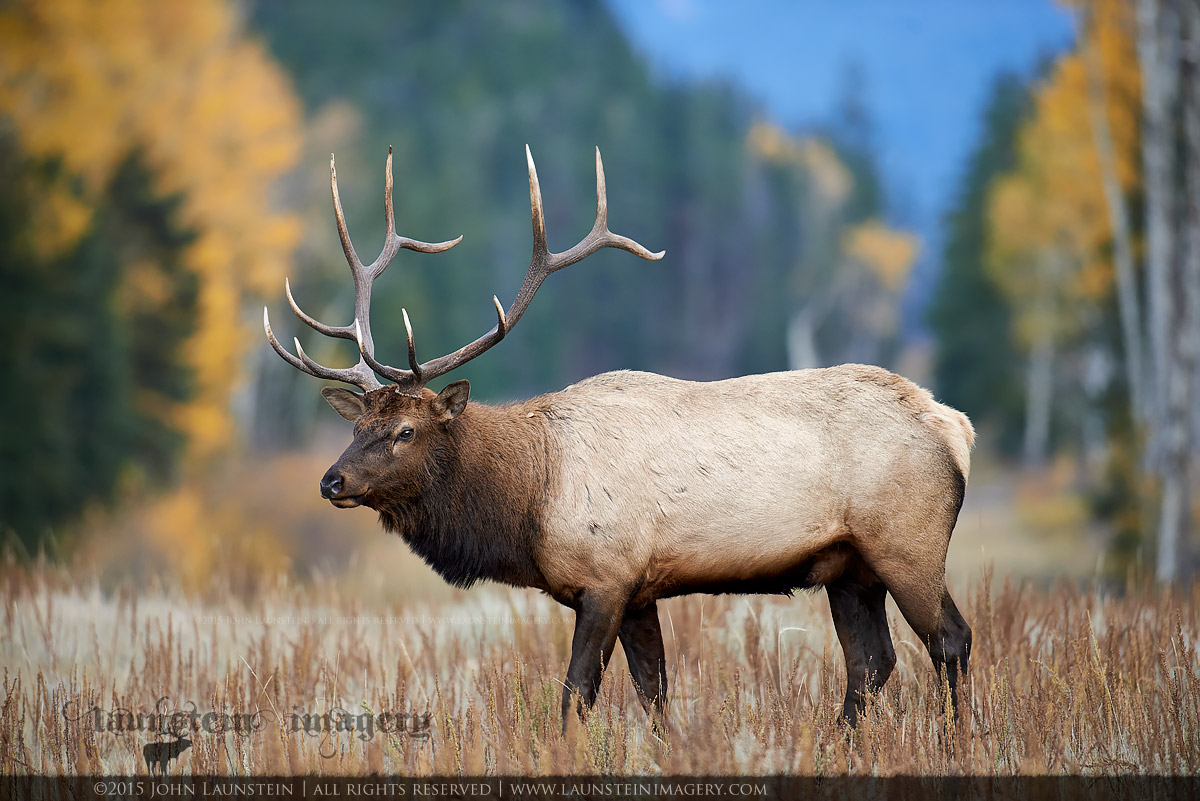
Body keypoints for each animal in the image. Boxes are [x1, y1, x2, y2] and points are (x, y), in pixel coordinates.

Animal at [264, 146, 975, 734]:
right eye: (357, 426)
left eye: (405, 430)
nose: (331, 480)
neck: (530, 499)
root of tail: (953, 425)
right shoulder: (640, 590)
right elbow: (653, 693)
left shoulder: (607, 576)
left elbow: (577, 693)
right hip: (850, 566)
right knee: (872, 661)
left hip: (906, 541)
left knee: (950, 641)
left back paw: (958, 743)